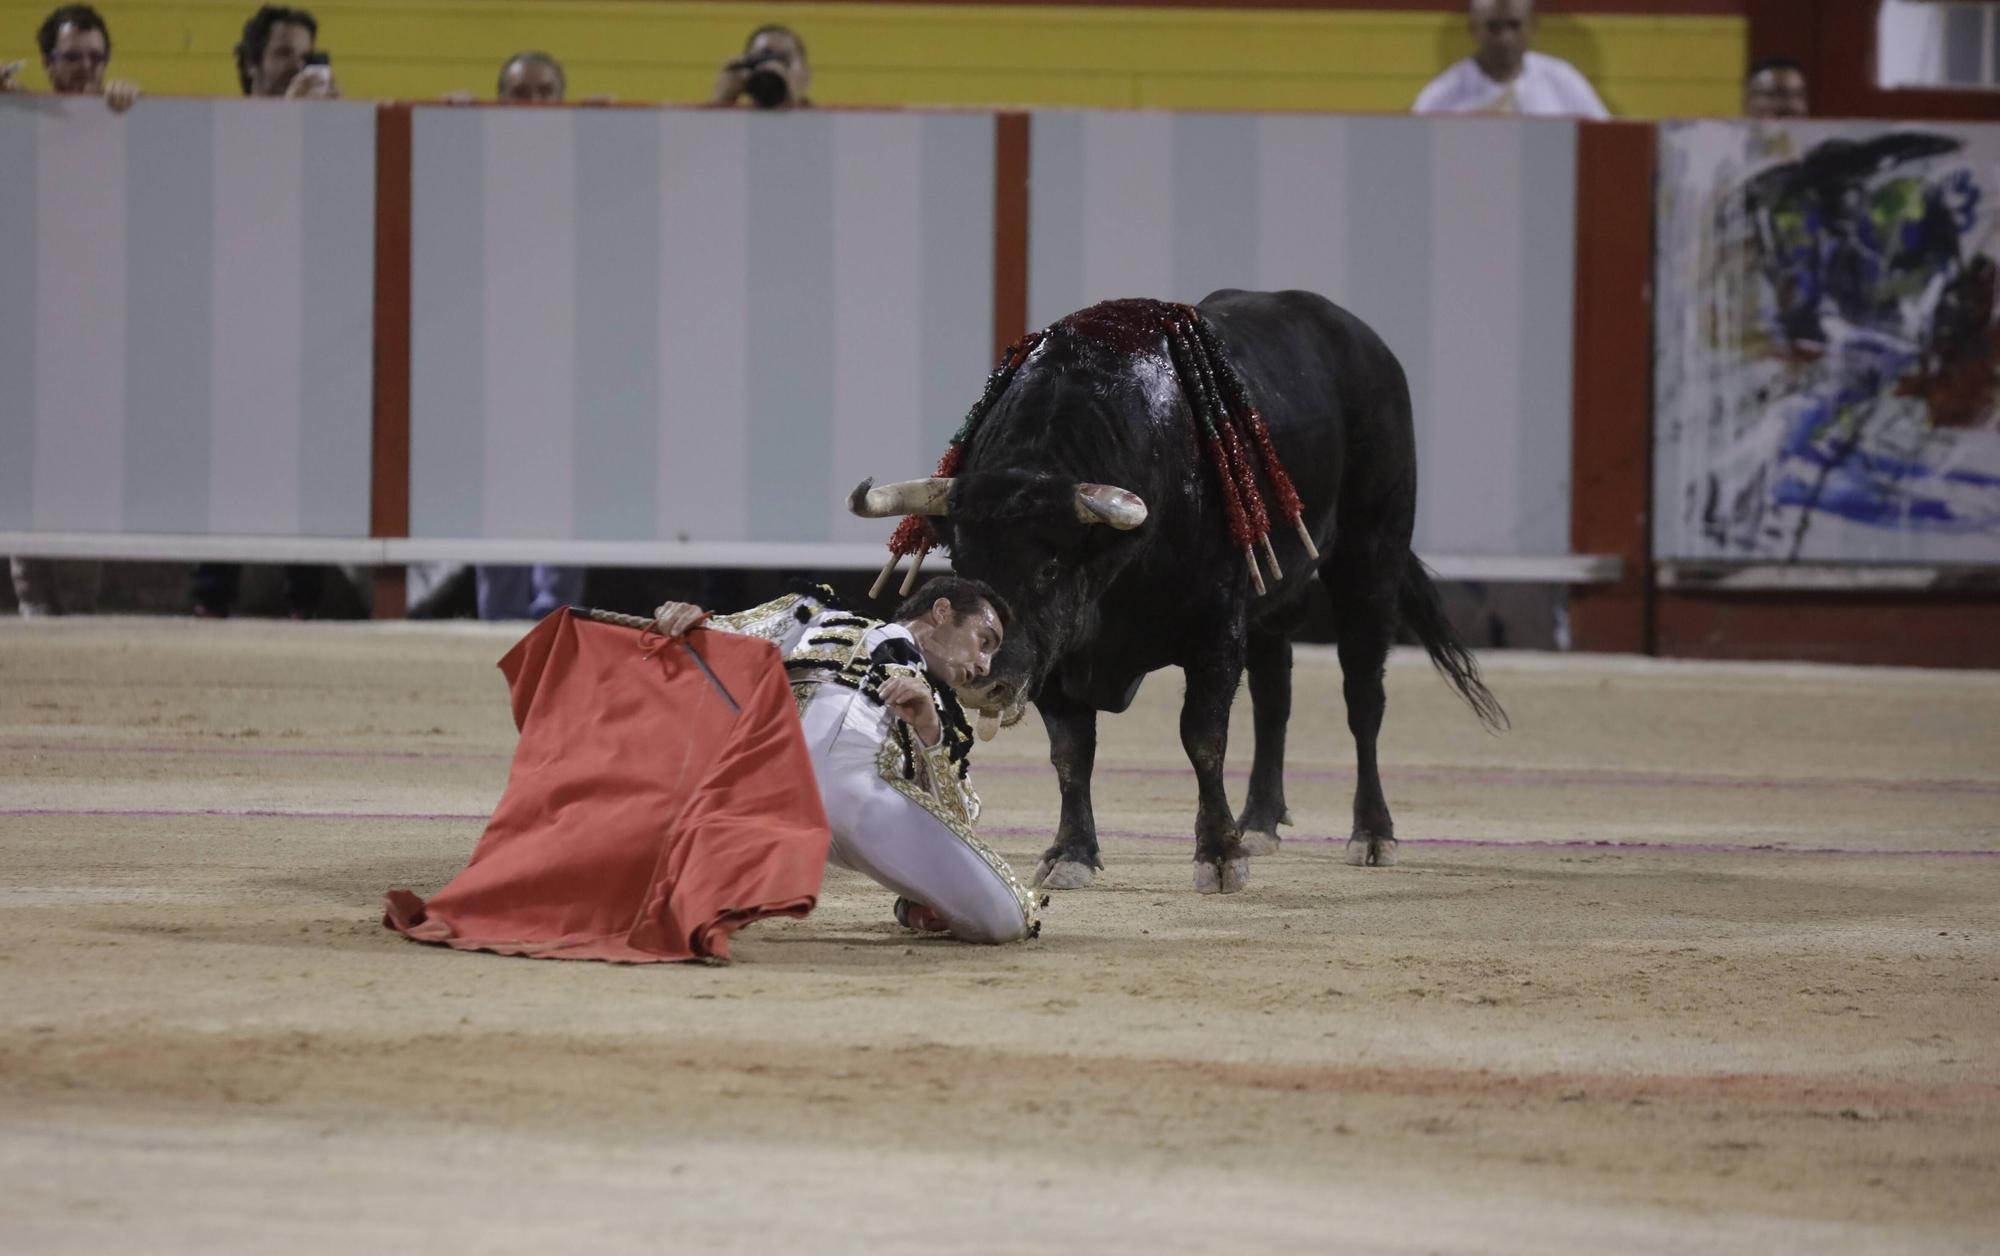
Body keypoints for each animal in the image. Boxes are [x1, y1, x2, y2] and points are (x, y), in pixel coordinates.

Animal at [848, 288, 1504, 892]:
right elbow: (1071, 752)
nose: (982, 682)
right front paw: (1071, 855)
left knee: (1363, 696)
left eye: (1050, 568)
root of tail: (1368, 346)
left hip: (1371, 558)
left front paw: (1219, 855)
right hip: (1271, 602)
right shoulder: (1059, 654)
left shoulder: (1213, 629)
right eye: (962, 559)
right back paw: (1260, 821)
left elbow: (1203, 737)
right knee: (1275, 697)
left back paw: (1370, 833)